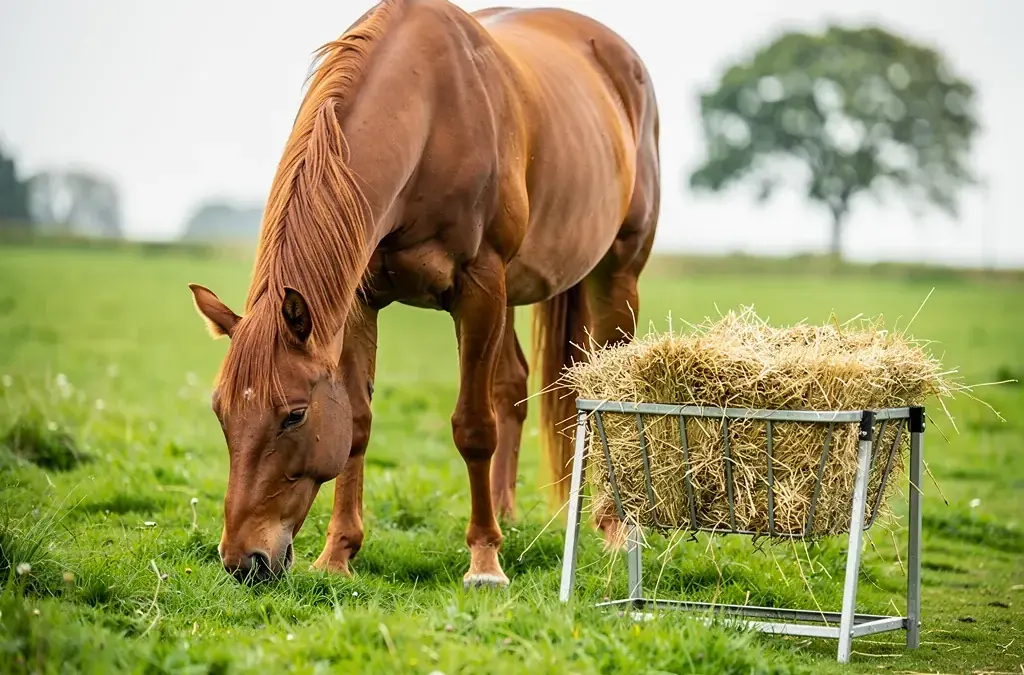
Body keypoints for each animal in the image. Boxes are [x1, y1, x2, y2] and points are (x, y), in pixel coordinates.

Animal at [188, 0, 660, 587]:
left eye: (294, 415)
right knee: (511, 384)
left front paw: (484, 562)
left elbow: (473, 428)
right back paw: (506, 512)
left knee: (609, 395)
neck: (432, 118)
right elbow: (358, 426)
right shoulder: (360, 301)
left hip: (615, 276)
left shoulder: (479, 288)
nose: (243, 561)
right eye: (220, 411)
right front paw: (338, 554)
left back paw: (613, 528)